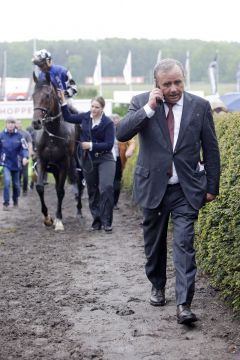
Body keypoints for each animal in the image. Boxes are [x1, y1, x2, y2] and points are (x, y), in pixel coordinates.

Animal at [31, 71, 84, 231]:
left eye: (47, 95)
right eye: (33, 95)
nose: (36, 122)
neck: (53, 134)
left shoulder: (64, 163)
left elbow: (61, 191)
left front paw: (59, 220)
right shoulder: (42, 161)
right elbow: (40, 187)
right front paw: (48, 218)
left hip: (75, 161)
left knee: (79, 181)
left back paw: (79, 211)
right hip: (55, 169)